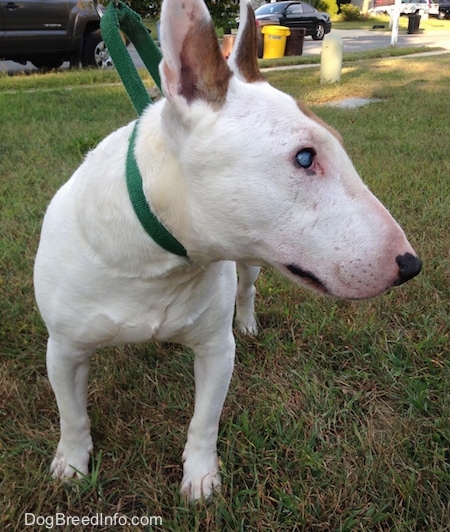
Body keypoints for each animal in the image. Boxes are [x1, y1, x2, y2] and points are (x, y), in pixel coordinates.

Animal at [34, 0, 422, 500]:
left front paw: (200, 479)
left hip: (252, 263)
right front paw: (71, 465)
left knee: (246, 289)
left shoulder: (217, 350)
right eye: (304, 157)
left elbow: (205, 419)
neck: (160, 259)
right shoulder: (63, 350)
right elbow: (72, 414)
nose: (410, 265)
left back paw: (249, 322)